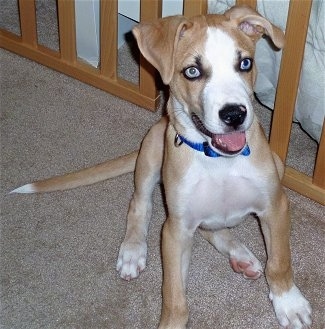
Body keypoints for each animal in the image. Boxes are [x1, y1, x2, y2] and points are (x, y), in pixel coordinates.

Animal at [11, 5, 312, 328]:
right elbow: (174, 296)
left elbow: (279, 261)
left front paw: (289, 303)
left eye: (245, 63)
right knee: (139, 204)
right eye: (192, 71)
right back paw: (133, 252)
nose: (234, 115)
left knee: (213, 228)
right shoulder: (174, 231)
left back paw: (241, 256)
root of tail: (161, 122)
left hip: (276, 165)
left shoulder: (275, 206)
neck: (218, 161)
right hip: (152, 155)